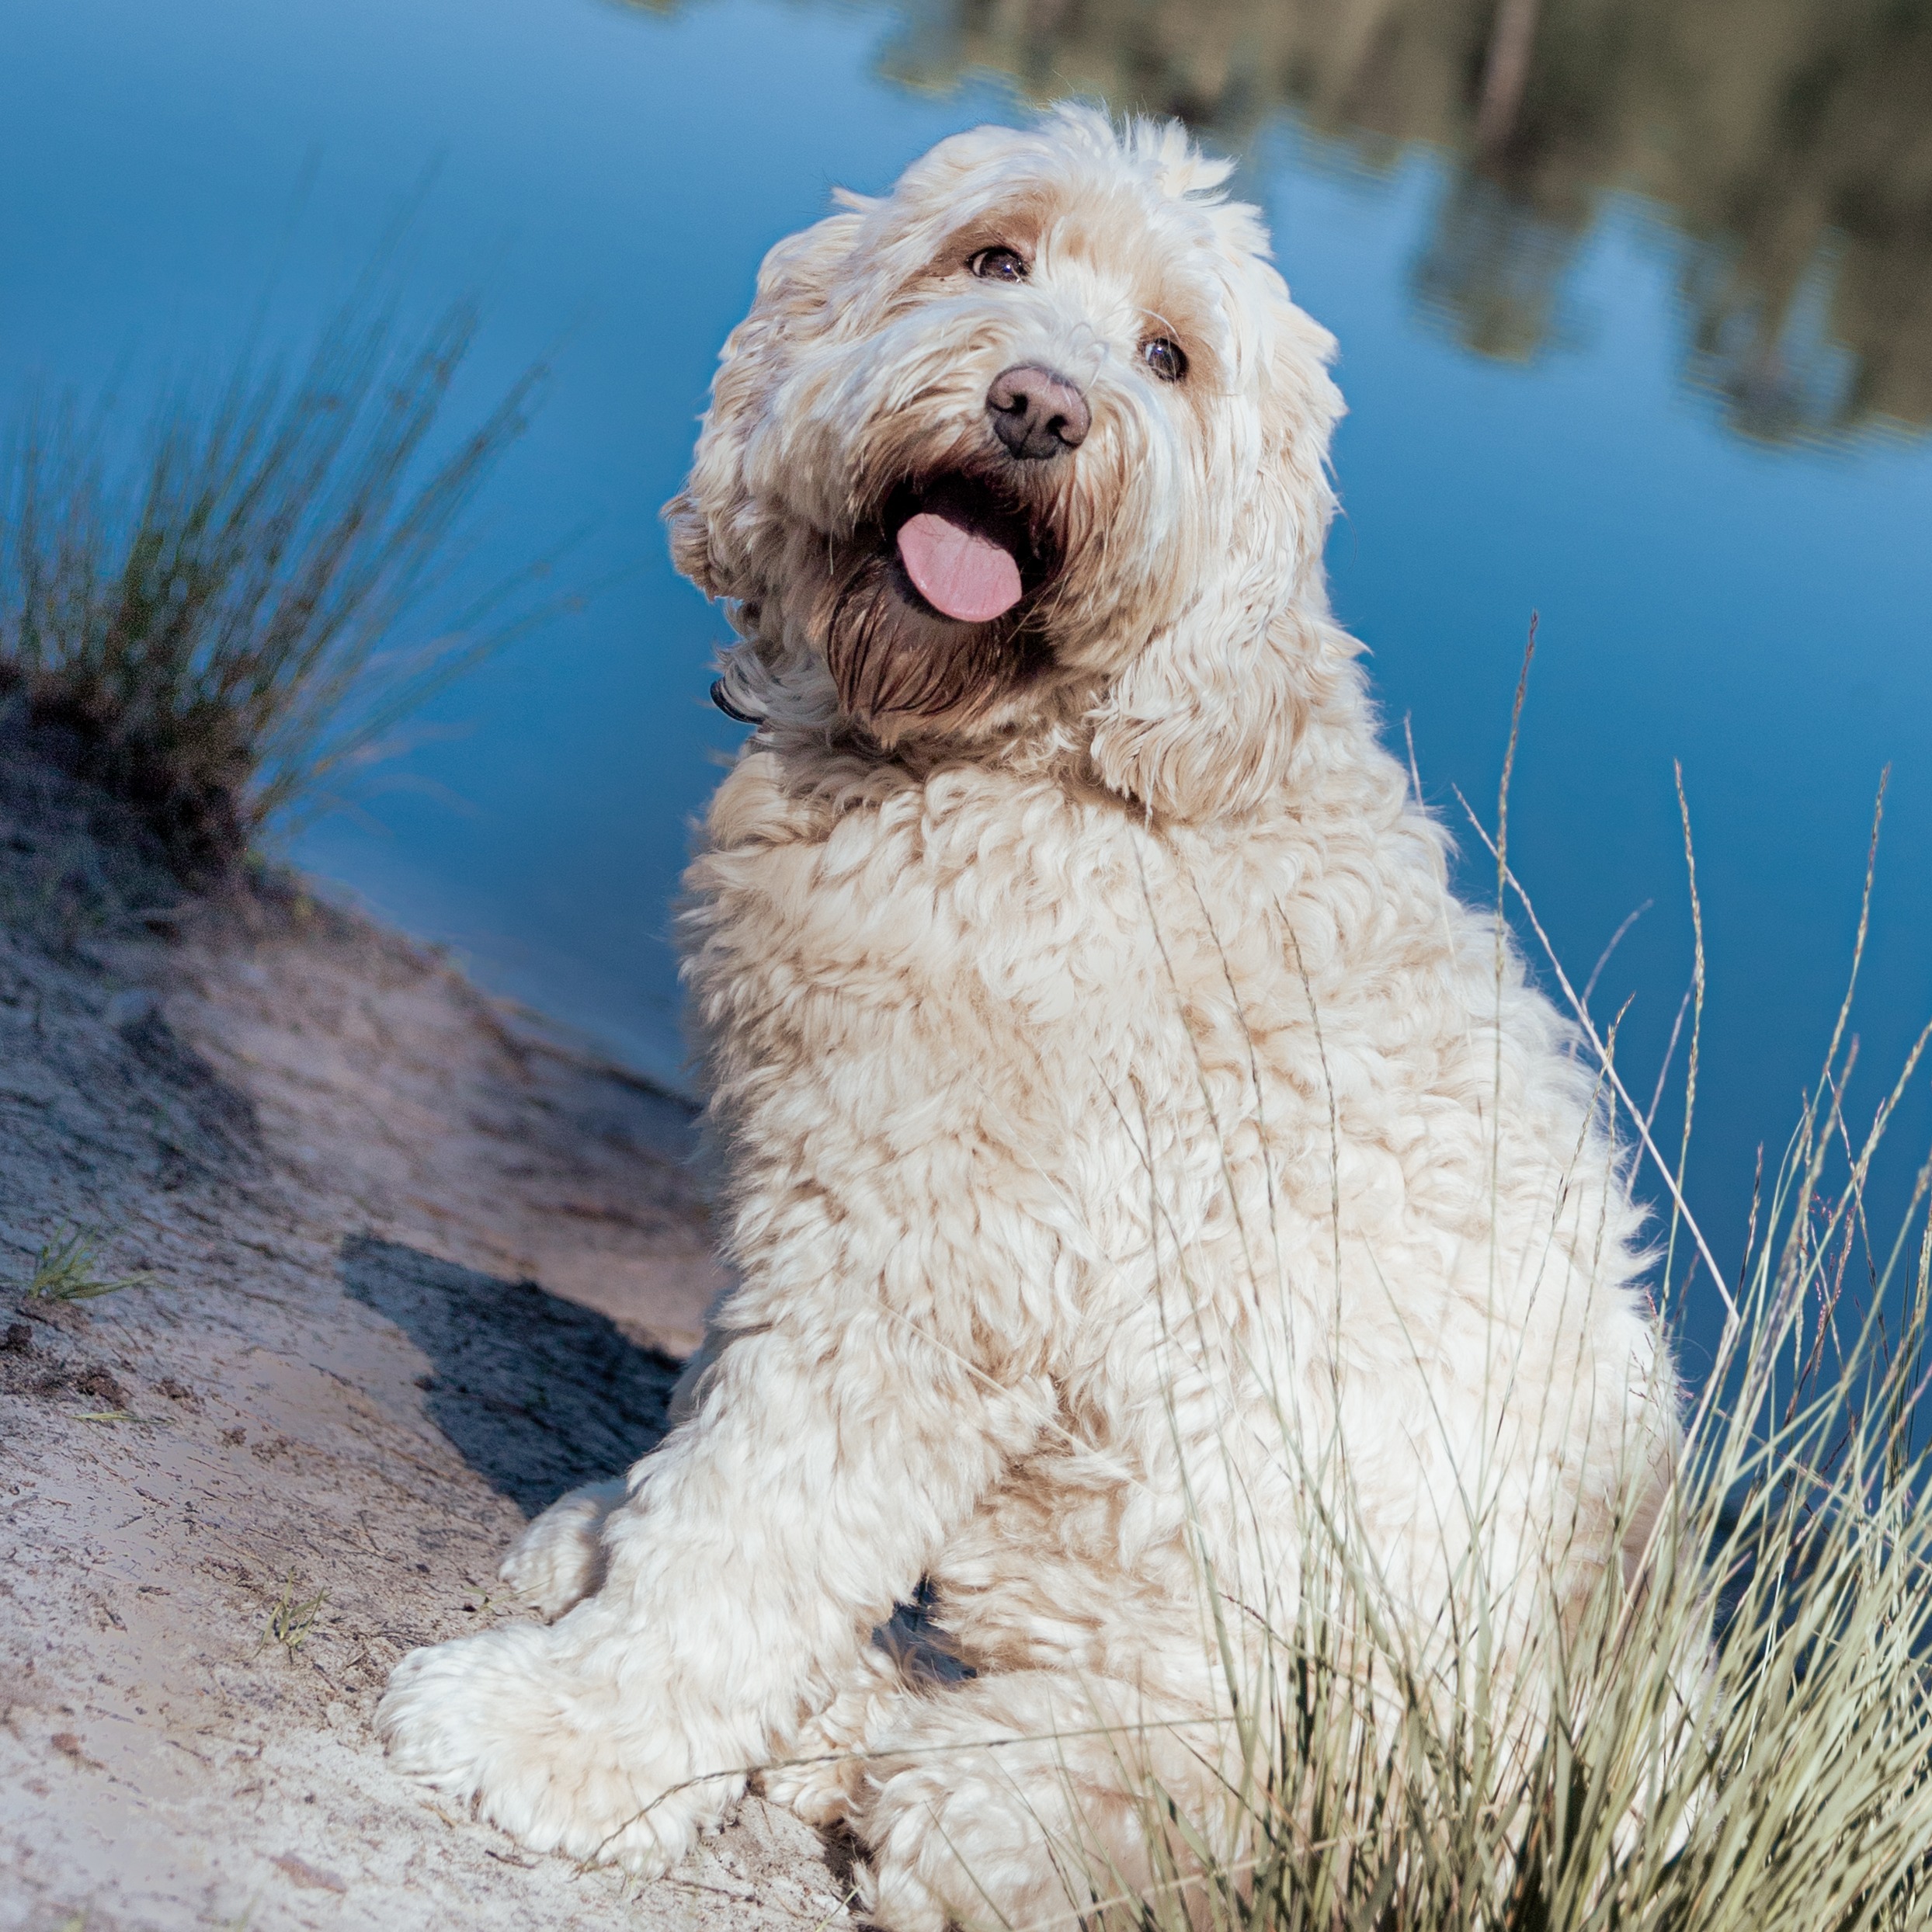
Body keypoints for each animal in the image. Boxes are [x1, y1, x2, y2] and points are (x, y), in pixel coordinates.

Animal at [377, 109, 1677, 1932]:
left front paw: (572, 1730)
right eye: (992, 255)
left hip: (1204, 1718)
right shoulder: (818, 1191)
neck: (1040, 761)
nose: (1038, 408)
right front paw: (617, 1533)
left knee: (977, 1801)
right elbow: (715, 1431)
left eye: (1168, 356)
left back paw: (872, 1729)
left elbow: (755, 1529)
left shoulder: (926, 1276)